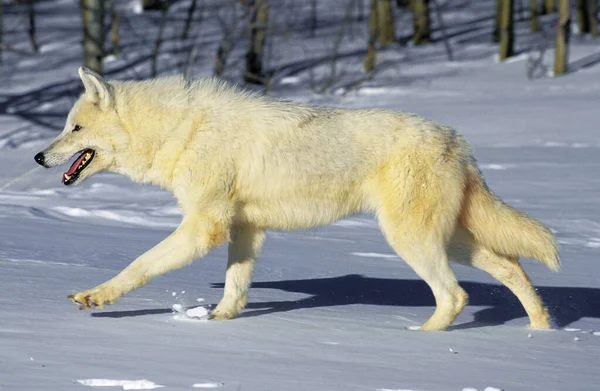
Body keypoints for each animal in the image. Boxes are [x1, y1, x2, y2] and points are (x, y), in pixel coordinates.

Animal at [35, 68, 560, 330]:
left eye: (74, 128)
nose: (39, 156)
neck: (181, 131)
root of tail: (458, 141)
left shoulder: (204, 227)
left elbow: (139, 264)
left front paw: (97, 296)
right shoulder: (244, 230)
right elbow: (236, 286)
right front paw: (219, 322)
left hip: (413, 241)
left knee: (455, 296)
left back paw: (421, 339)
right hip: (451, 241)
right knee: (512, 268)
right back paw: (541, 332)